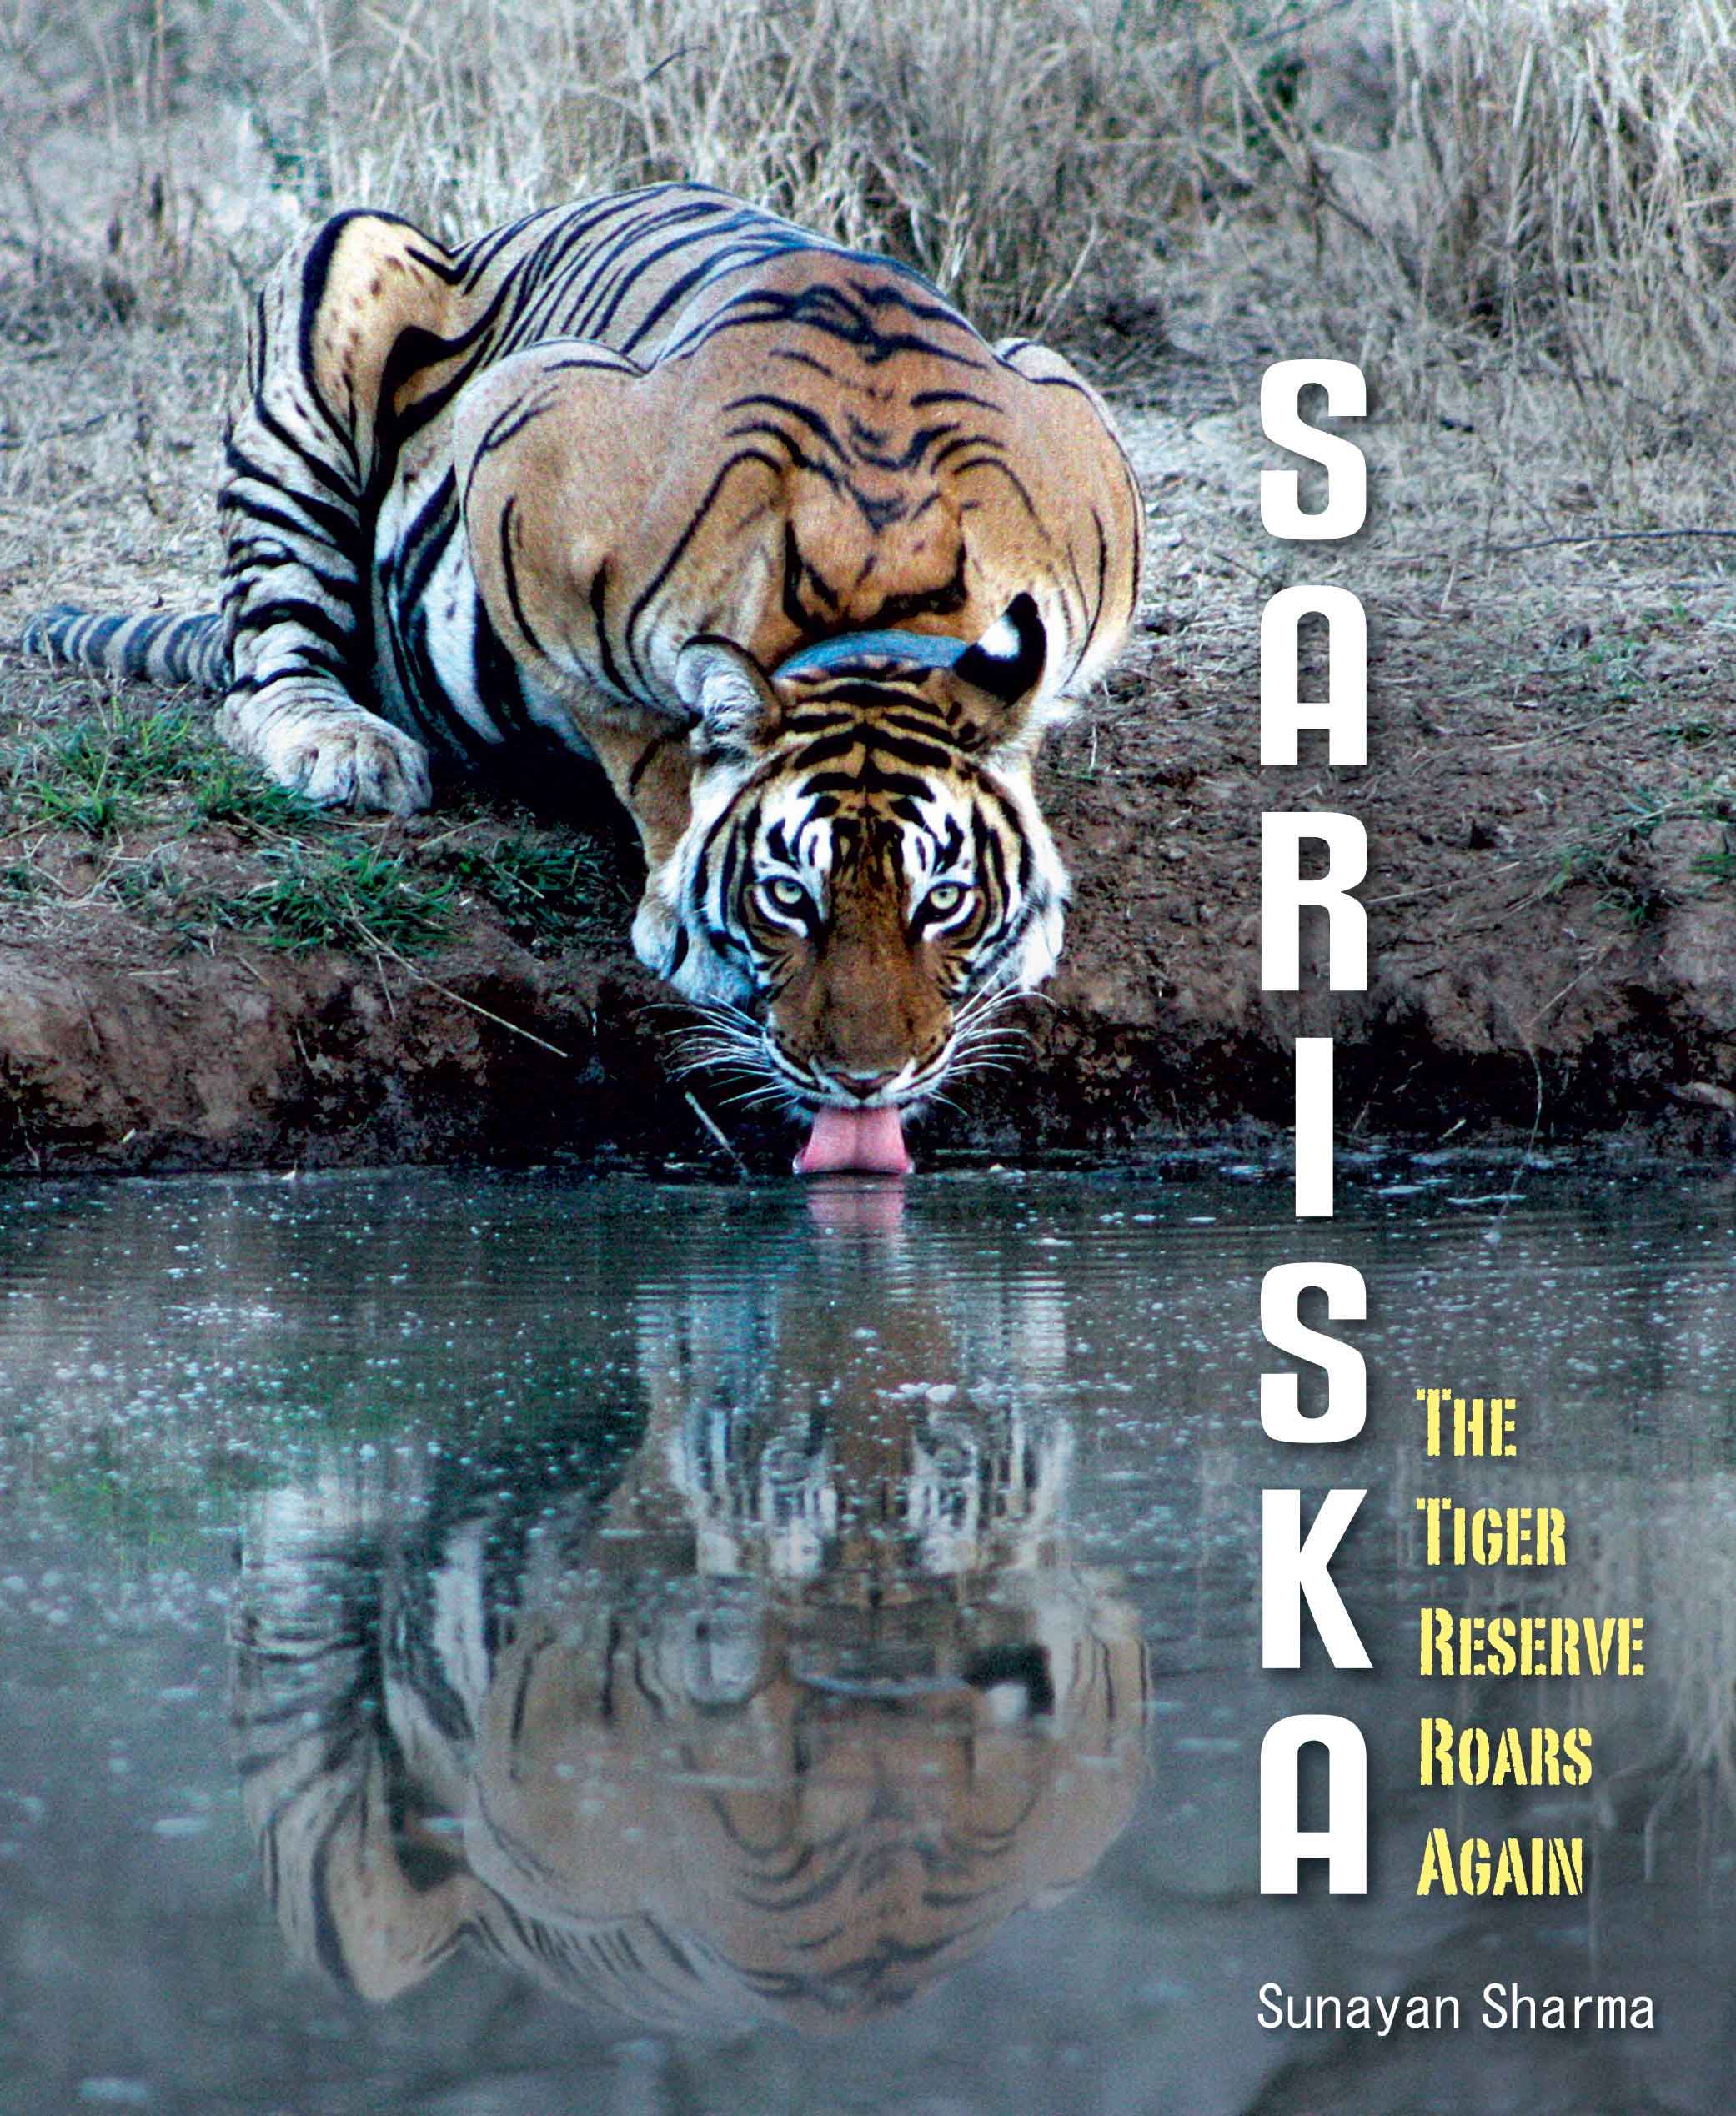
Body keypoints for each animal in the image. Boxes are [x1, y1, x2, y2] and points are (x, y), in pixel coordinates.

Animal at [19, 182, 1145, 1173]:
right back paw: (343, 745)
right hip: (336, 274)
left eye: (943, 900)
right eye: (788, 897)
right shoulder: (521, 447)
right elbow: (641, 737)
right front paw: (678, 907)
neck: (875, 597)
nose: (864, 1082)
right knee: (265, 663)